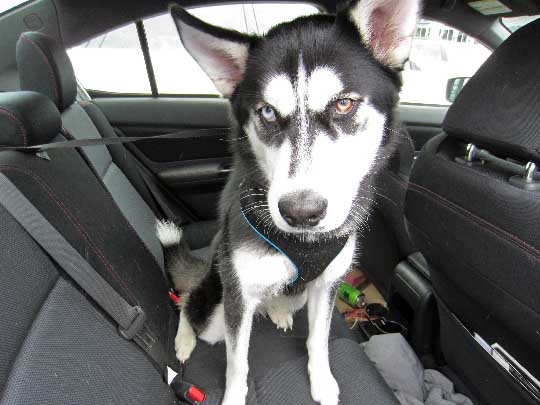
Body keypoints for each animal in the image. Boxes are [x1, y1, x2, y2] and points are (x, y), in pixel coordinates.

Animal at [160, 1, 422, 402]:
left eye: (343, 104)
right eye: (267, 112)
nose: (301, 212)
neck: (304, 243)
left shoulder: (327, 284)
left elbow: (319, 339)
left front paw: (322, 381)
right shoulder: (238, 297)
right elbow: (238, 363)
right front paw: (234, 396)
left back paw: (278, 310)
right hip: (216, 301)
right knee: (189, 303)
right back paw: (186, 338)